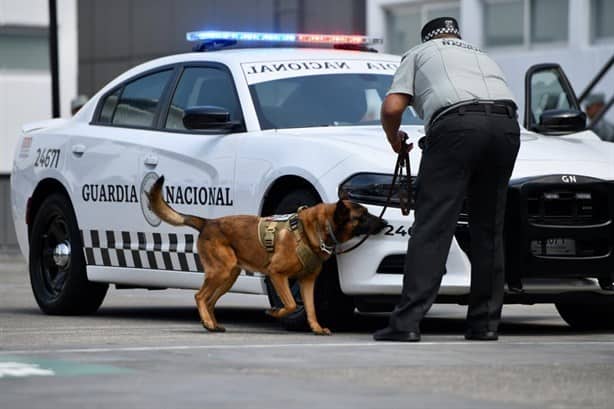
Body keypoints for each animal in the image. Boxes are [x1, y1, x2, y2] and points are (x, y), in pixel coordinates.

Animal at [149, 174, 388, 334]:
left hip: (229, 275)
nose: (385, 222)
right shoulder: (276, 274)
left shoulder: (307, 282)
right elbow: (290, 304)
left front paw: (316, 328)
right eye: (362, 216)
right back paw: (208, 323)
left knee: (209, 300)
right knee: (200, 296)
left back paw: (212, 324)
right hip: (221, 271)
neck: (312, 230)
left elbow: (310, 308)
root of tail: (208, 223)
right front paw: (275, 313)